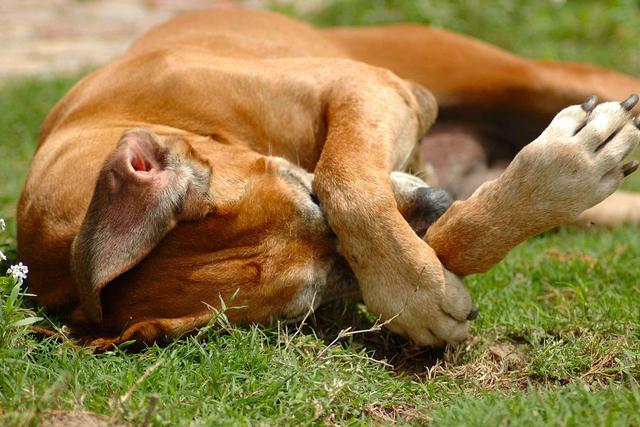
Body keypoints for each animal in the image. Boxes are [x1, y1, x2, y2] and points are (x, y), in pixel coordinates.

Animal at [13, 8, 640, 350]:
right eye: (315, 298)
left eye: (310, 194)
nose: (440, 200)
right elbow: (445, 240)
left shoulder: (369, 87)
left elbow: (348, 176)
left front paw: (416, 290)